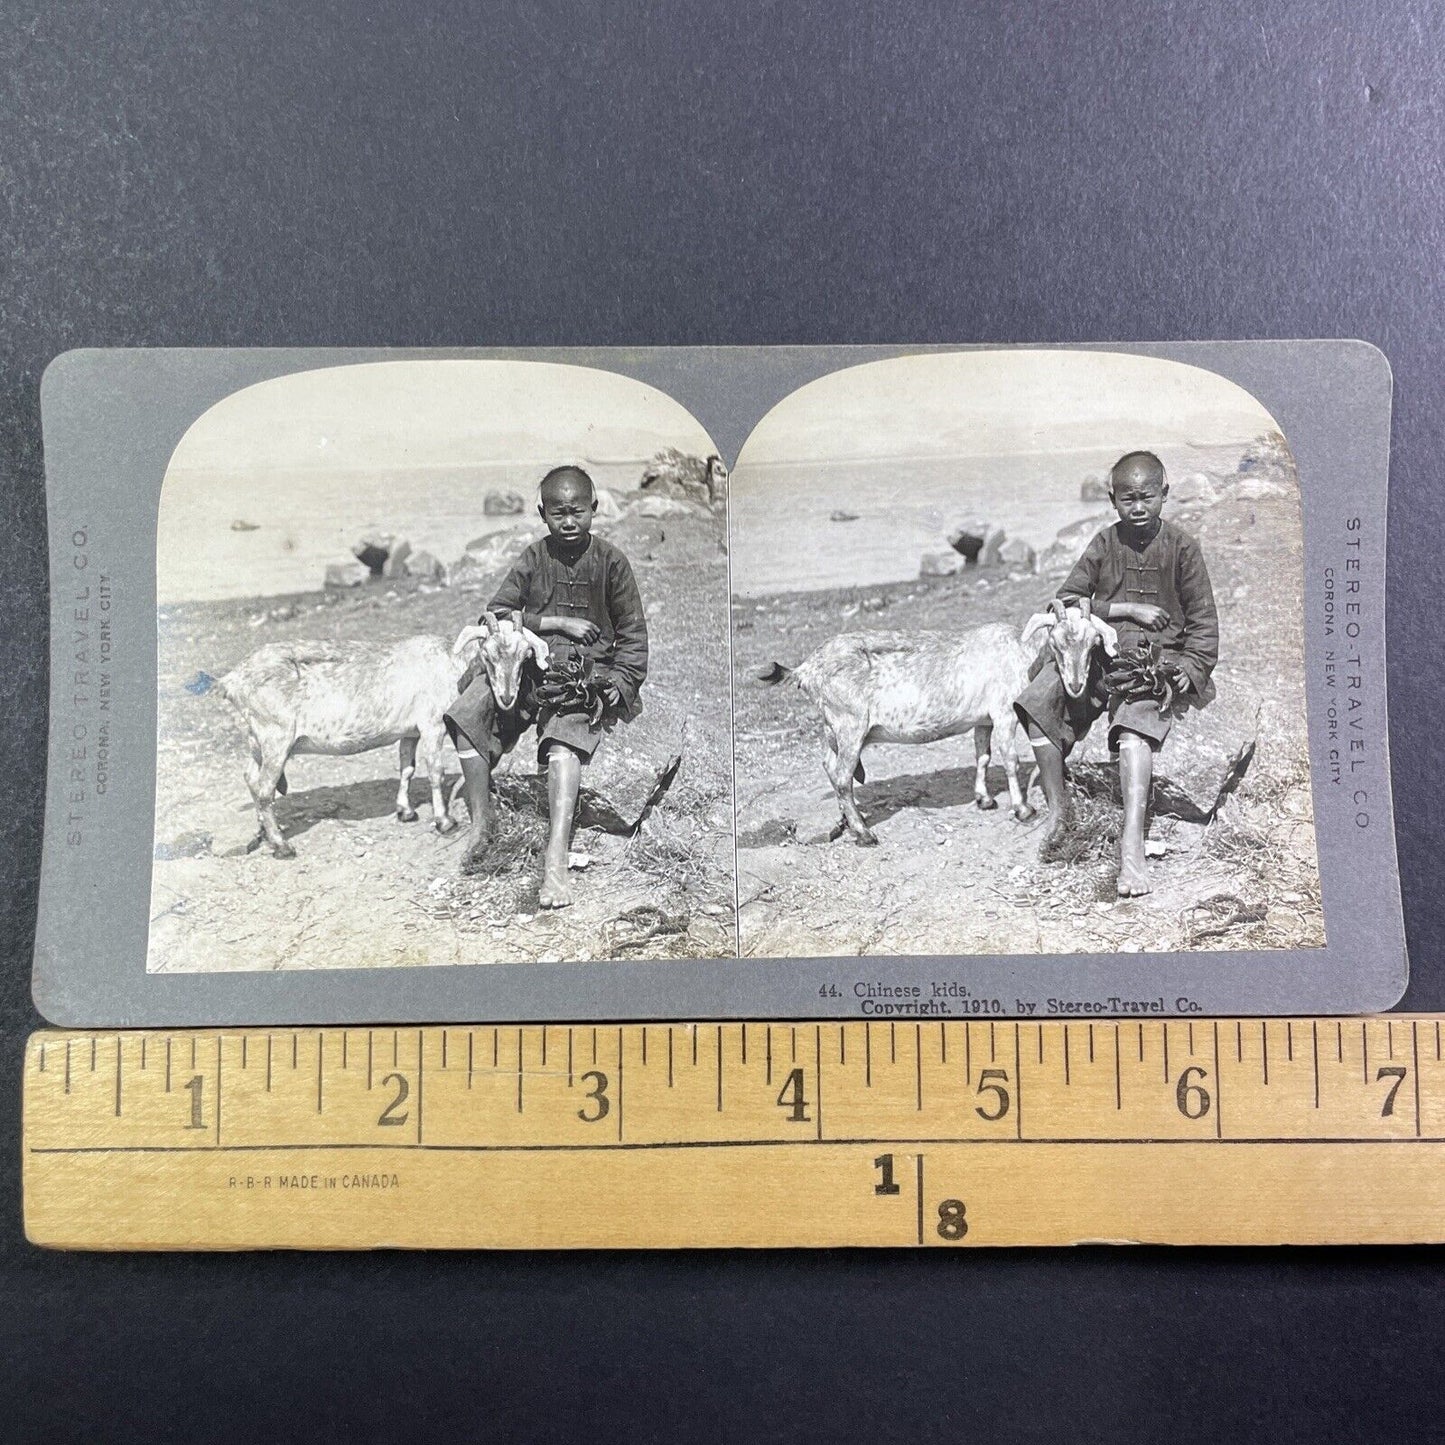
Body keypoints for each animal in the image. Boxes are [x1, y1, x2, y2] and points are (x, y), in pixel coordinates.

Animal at [218, 612, 546, 855]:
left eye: (524, 657)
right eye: (488, 655)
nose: (506, 697)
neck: (450, 664)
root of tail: (232, 680)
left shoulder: (410, 732)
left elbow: (407, 768)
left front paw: (405, 811)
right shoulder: (432, 725)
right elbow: (435, 772)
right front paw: (444, 821)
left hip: (257, 740)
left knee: (251, 778)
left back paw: (263, 832)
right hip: (276, 736)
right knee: (264, 788)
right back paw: (281, 845)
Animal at [768, 601, 1115, 843]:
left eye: (1093, 643)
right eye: (1056, 643)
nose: (1075, 685)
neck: (1020, 651)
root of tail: (805, 670)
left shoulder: (983, 720)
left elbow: (982, 755)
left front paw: (984, 799)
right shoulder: (1004, 712)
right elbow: (1010, 759)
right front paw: (1023, 809)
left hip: (834, 727)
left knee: (829, 765)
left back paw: (847, 821)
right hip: (850, 723)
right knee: (842, 776)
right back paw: (864, 834)